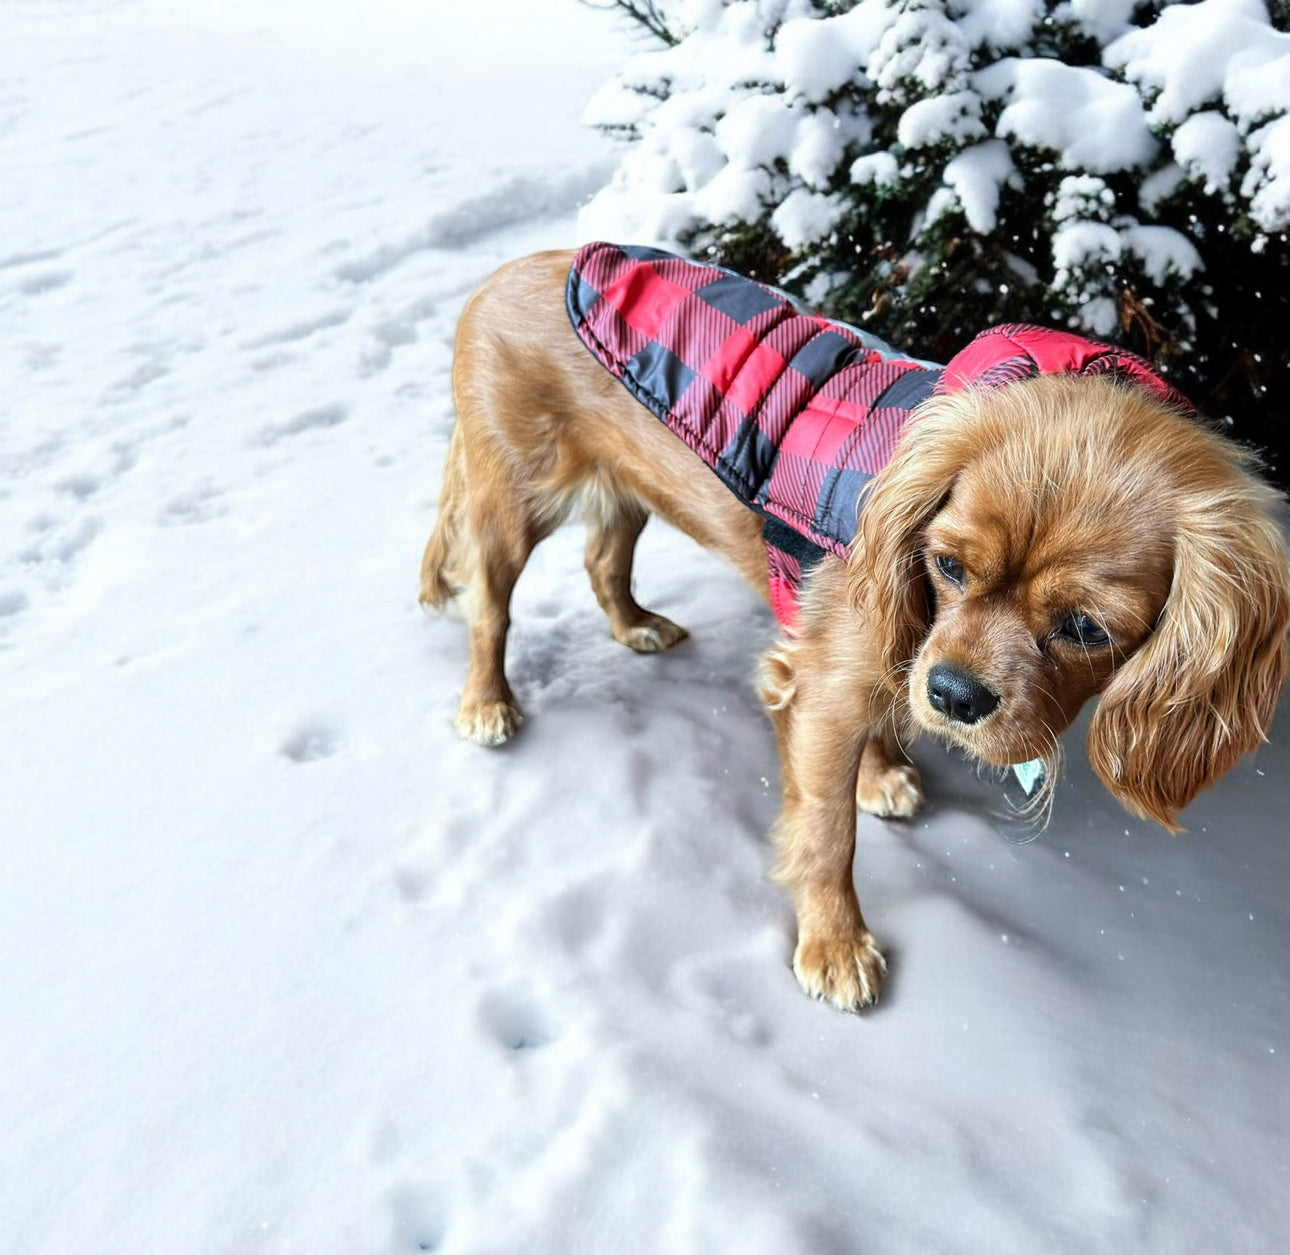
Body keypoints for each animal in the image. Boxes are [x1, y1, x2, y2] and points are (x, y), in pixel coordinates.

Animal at [423, 242, 1290, 1011]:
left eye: (1084, 626)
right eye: (948, 565)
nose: (955, 694)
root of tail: (499, 276)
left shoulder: (886, 662)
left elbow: (882, 716)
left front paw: (880, 774)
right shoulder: (824, 685)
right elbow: (825, 830)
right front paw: (835, 946)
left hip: (626, 488)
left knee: (604, 558)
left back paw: (636, 626)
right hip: (511, 501)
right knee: (490, 609)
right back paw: (487, 703)